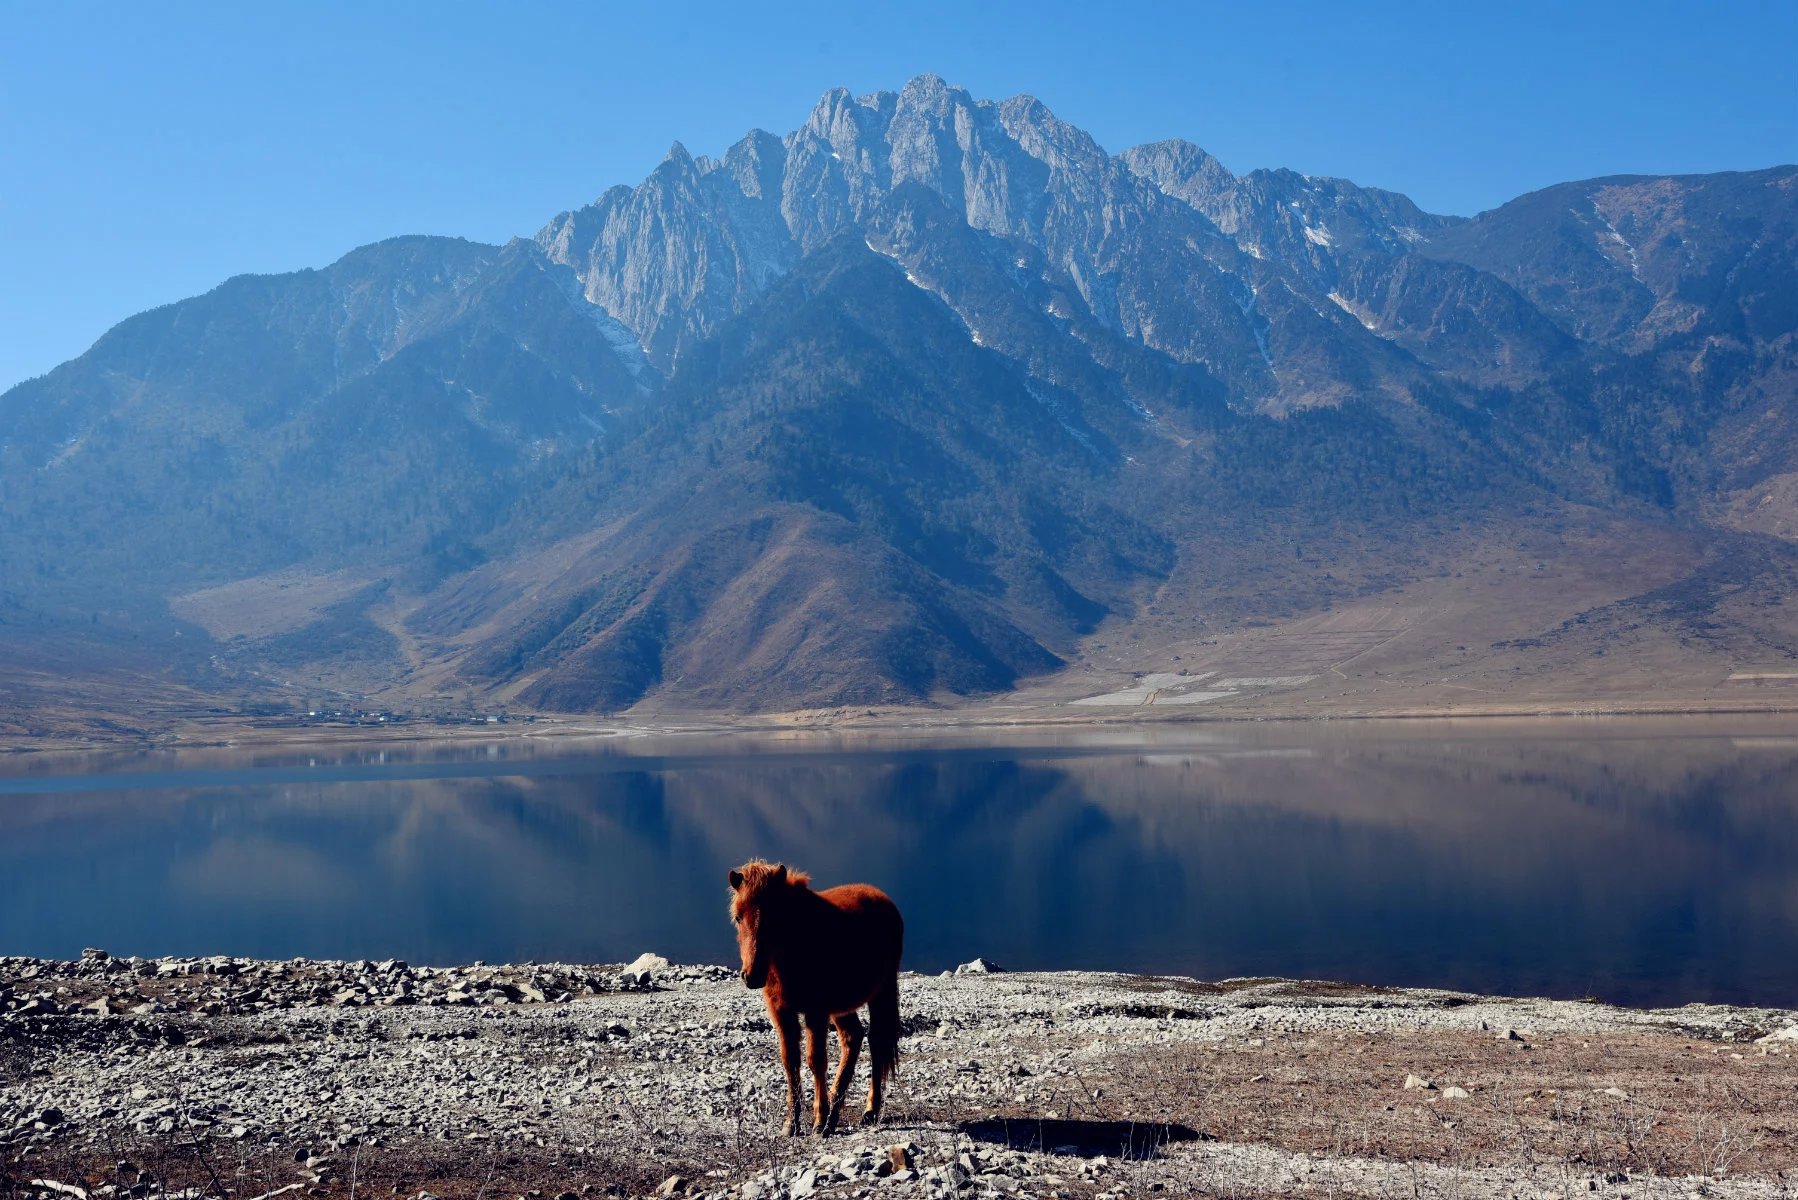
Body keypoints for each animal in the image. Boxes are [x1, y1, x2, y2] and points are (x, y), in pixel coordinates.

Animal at [726, 863, 906, 1137]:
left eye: (775, 917)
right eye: (738, 917)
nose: (752, 976)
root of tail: (883, 899)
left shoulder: (816, 1011)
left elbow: (816, 1061)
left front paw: (818, 1119)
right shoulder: (782, 1012)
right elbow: (790, 1061)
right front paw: (792, 1123)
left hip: (881, 992)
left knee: (876, 1043)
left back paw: (868, 1111)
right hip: (842, 1007)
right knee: (852, 1038)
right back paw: (835, 1109)